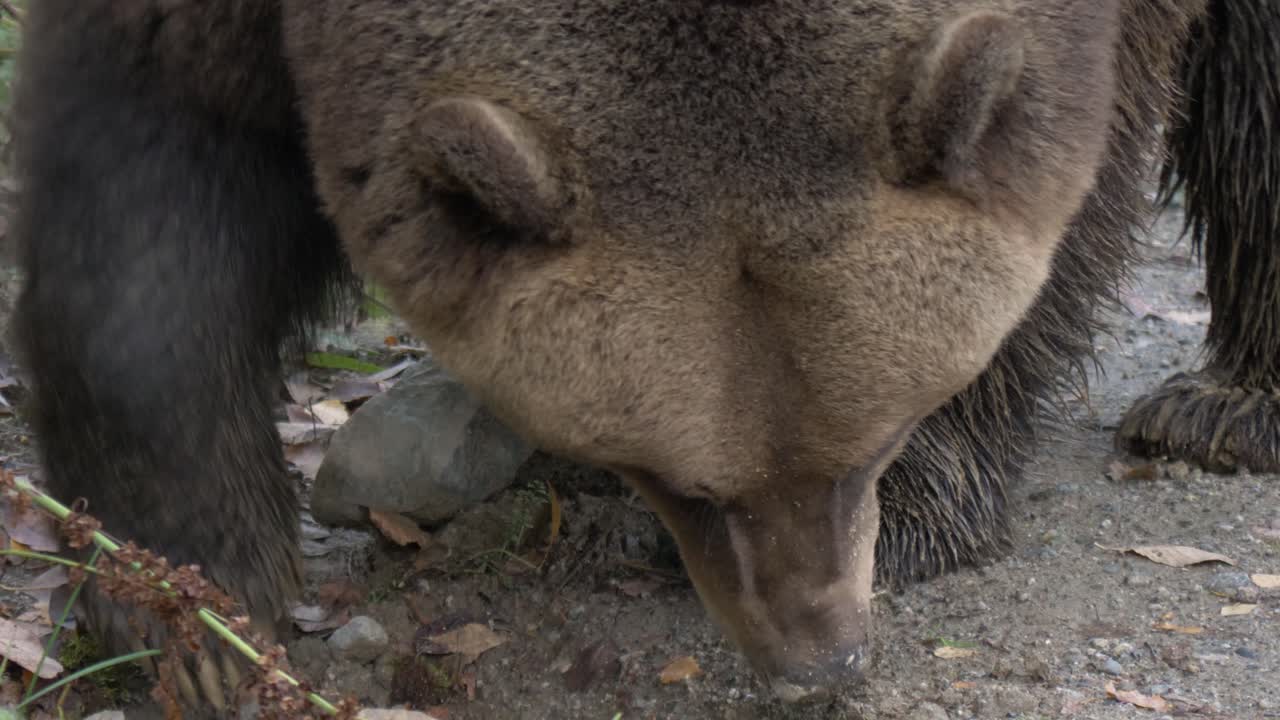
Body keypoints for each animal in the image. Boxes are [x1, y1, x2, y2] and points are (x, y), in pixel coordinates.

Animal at [8, 0, 1278, 713]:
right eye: (679, 481)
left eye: (873, 442)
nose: (820, 668)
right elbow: (150, 211)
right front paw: (187, 609)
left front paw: (929, 501)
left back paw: (1222, 404)